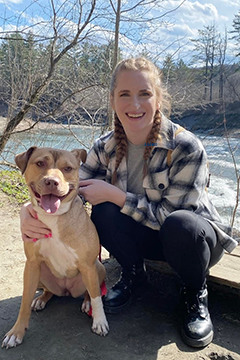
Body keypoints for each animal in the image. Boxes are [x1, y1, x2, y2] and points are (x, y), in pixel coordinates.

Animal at [1, 146, 109, 348]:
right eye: (40, 163)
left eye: (68, 168)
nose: (52, 181)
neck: (53, 217)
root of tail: (66, 291)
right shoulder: (32, 264)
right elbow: (24, 301)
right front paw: (16, 332)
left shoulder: (87, 265)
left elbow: (96, 296)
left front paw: (99, 321)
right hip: (41, 273)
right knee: (49, 291)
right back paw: (41, 300)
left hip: (97, 268)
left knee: (90, 291)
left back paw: (86, 303)